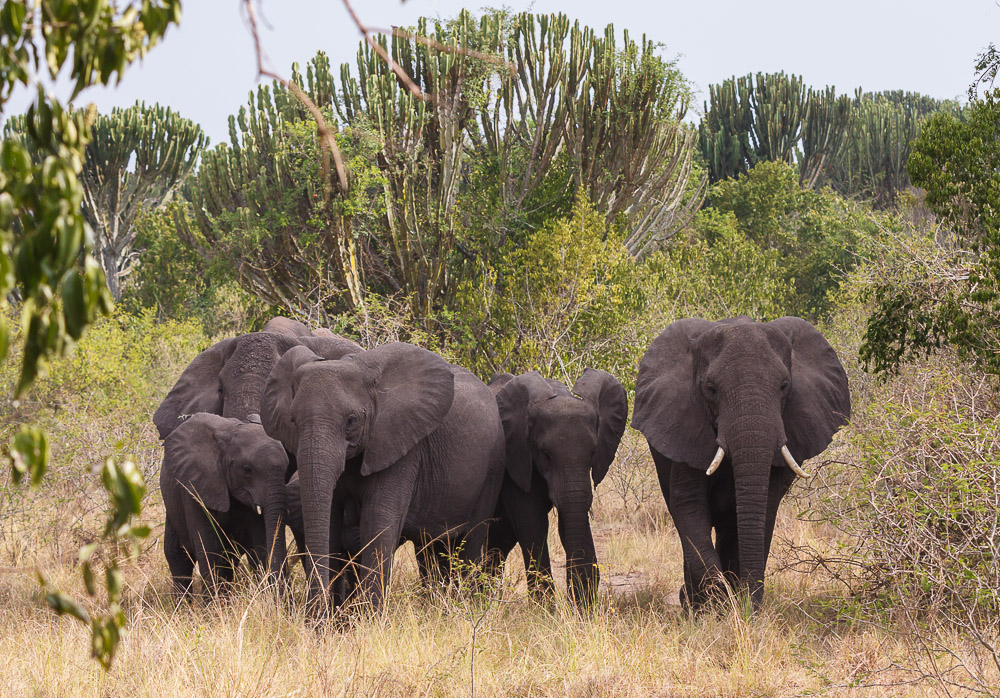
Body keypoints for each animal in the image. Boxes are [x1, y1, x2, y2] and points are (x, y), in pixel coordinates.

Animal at [160, 410, 292, 596]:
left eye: (287, 468)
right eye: (247, 470)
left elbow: (260, 546)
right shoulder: (195, 488)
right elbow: (210, 551)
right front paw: (214, 604)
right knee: (178, 556)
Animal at [262, 342, 504, 608]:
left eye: (351, 420)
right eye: (293, 420)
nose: (314, 612)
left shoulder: (403, 446)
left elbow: (378, 525)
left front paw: (368, 616)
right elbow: (331, 522)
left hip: (493, 466)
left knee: (472, 537)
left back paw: (468, 605)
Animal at [484, 368, 624, 600]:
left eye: (593, 452)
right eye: (546, 454)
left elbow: (568, 521)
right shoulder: (516, 460)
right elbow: (532, 523)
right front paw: (545, 608)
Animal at [628, 316, 848, 608]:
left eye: (784, 386)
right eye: (710, 389)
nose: (749, 605)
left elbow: (764, 507)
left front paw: (736, 603)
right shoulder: (685, 427)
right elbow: (688, 505)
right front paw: (718, 606)